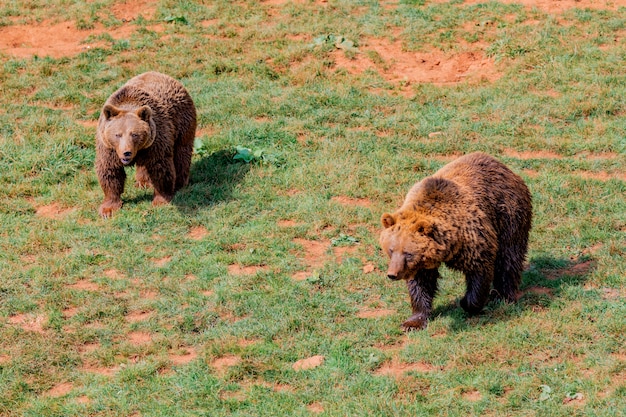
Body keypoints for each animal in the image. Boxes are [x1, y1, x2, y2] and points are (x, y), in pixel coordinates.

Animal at [95, 70, 195, 218]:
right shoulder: (108, 147)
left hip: (181, 121)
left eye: (134, 134)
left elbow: (160, 168)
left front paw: (160, 200)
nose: (127, 152)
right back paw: (143, 182)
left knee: (182, 152)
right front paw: (108, 209)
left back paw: (180, 183)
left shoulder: (156, 141)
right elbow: (110, 172)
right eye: (117, 134)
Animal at [378, 151, 528, 330]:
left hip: (508, 215)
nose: (392, 274)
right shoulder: (421, 262)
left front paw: (467, 303)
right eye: (391, 249)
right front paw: (413, 321)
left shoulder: (473, 239)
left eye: (407, 253)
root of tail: (505, 168)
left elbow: (480, 271)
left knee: (509, 257)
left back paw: (503, 296)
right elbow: (420, 284)